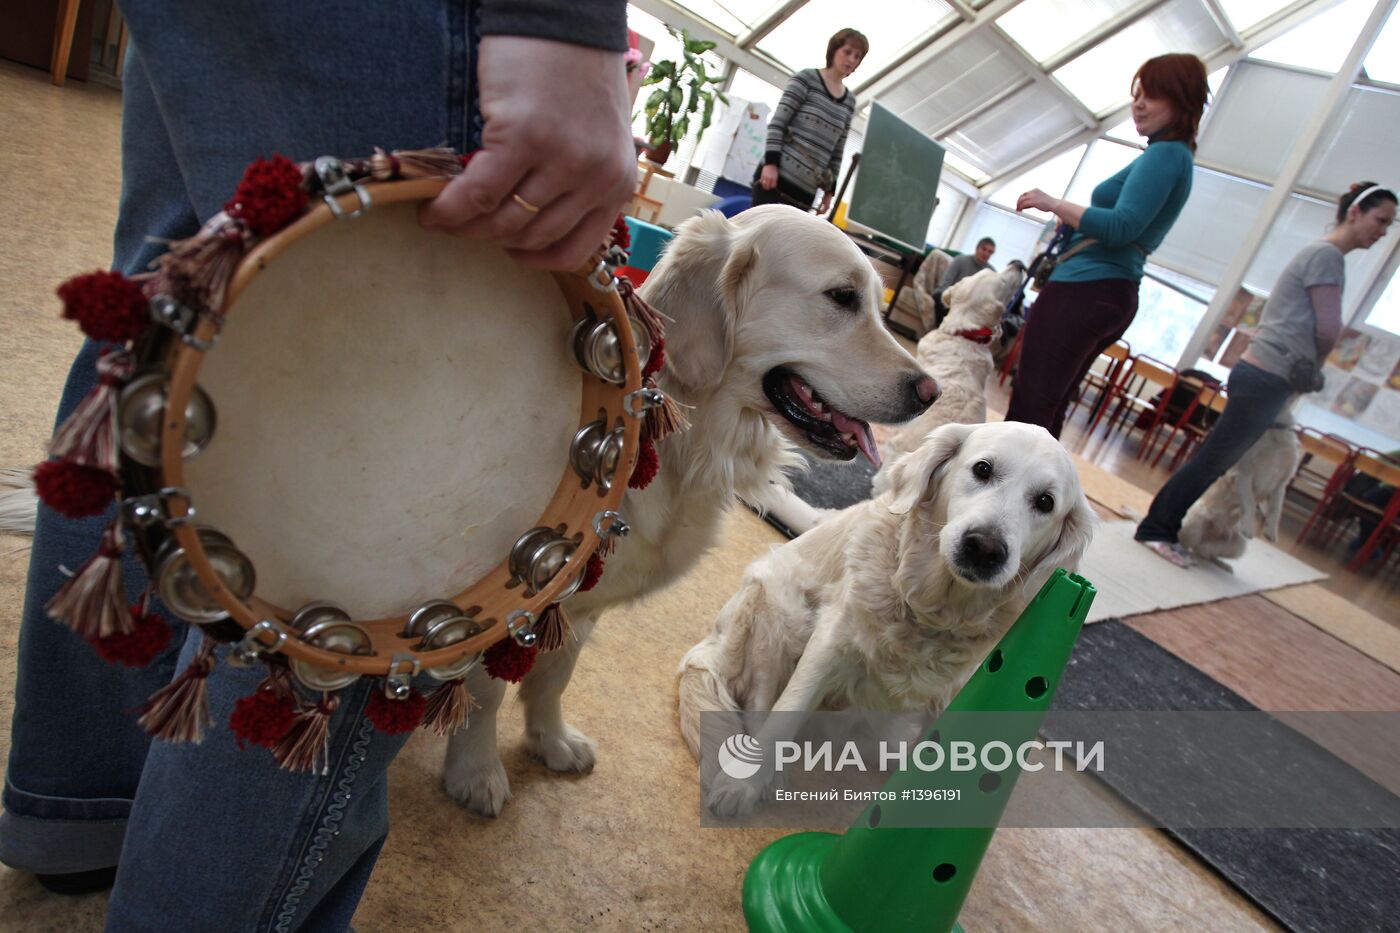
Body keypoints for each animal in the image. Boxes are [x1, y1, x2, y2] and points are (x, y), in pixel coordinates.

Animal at [442, 205, 935, 812]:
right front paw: (476, 770)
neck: (691, 449)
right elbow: (487, 691)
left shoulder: (582, 604)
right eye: (842, 297)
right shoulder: (515, 598)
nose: (931, 393)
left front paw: (549, 741)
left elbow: (556, 673)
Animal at [674, 420, 1092, 812]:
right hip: (778, 601)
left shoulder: (964, 686)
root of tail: (706, 650)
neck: (933, 612)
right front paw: (746, 782)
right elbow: (786, 710)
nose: (985, 548)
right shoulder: (832, 642)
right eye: (983, 469)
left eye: (1045, 502)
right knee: (758, 705)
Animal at [1181, 420, 1299, 560]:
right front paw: (1248, 526)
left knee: (1205, 549)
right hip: (1193, 521)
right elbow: (1250, 502)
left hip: (1238, 545)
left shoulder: (1281, 484)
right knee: (1190, 543)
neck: (1275, 434)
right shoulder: (1243, 475)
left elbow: (1276, 509)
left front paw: (1271, 531)